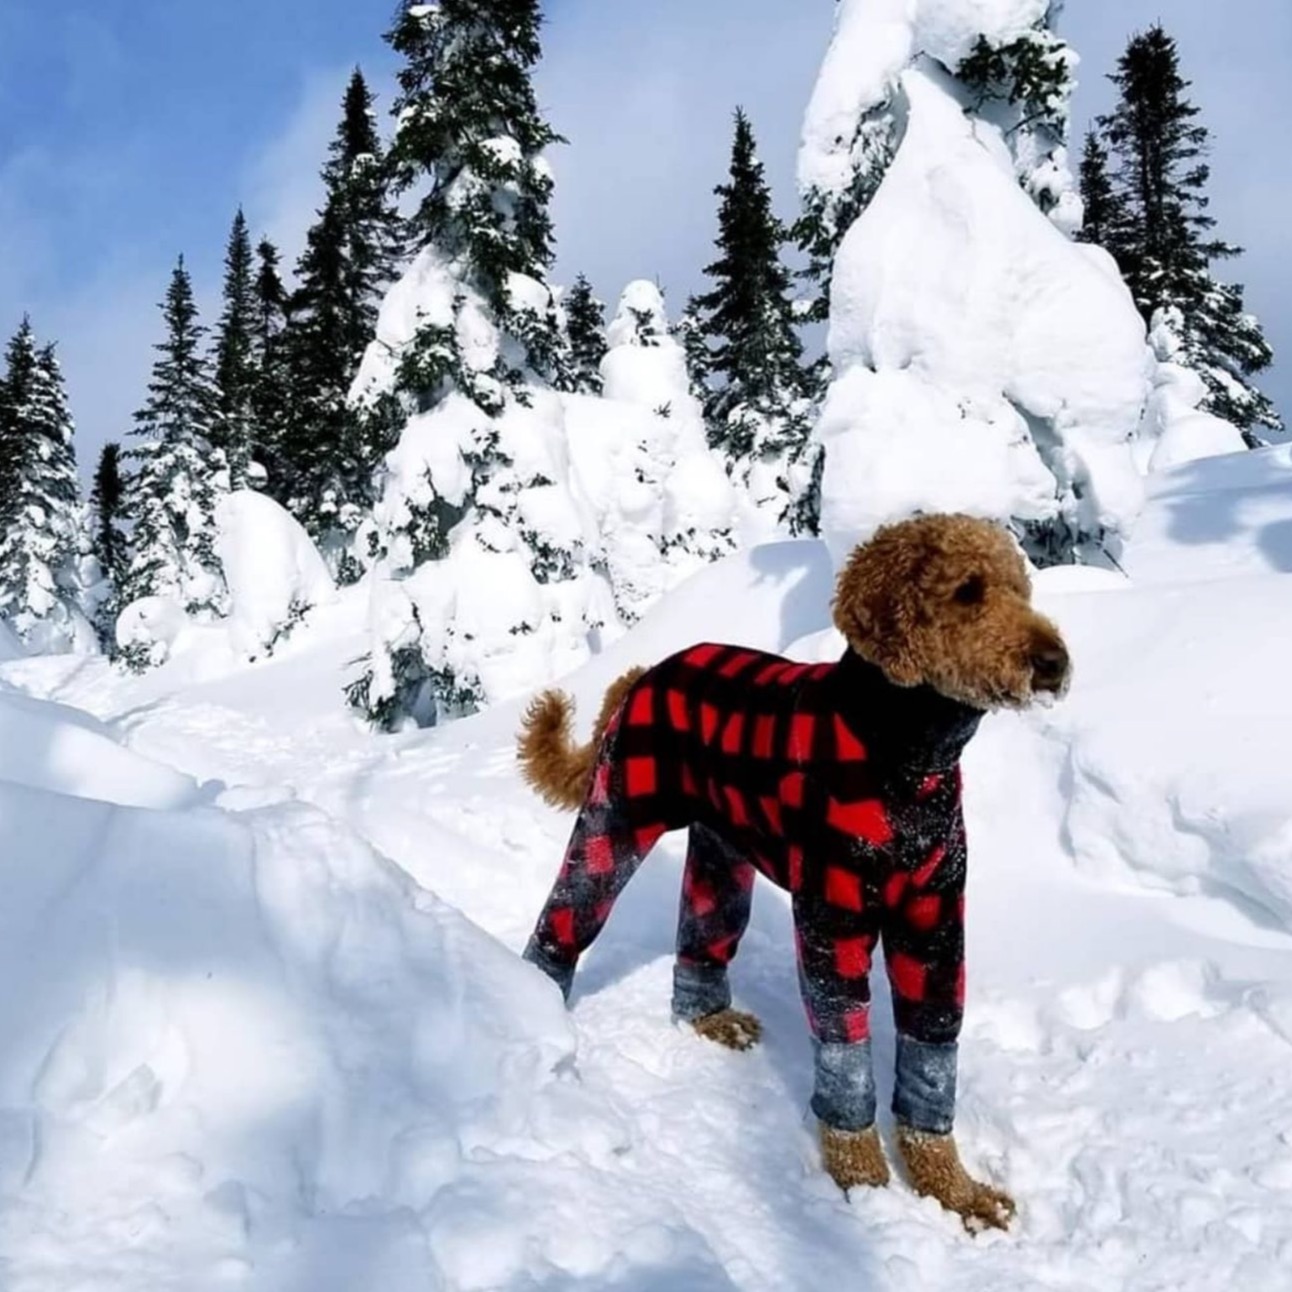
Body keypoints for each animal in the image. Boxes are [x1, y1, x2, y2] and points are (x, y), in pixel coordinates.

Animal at [514, 511, 1069, 1229]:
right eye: (968, 591)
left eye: (1022, 589)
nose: (1055, 663)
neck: (903, 755)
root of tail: (644, 672)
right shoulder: (834, 918)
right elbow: (845, 1054)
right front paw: (863, 1184)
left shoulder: (934, 923)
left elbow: (931, 1055)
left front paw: (955, 1192)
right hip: (617, 820)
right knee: (565, 917)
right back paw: (530, 1005)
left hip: (721, 856)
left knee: (702, 936)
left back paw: (710, 1019)